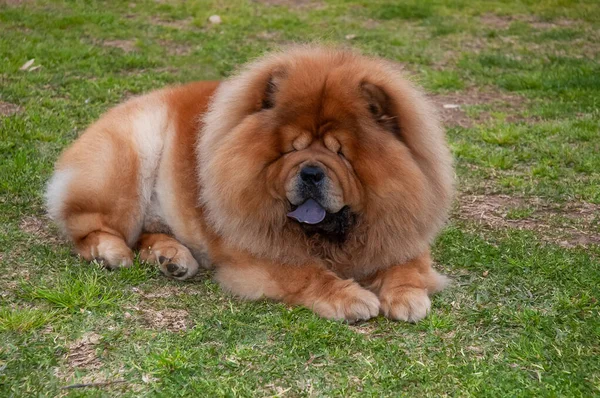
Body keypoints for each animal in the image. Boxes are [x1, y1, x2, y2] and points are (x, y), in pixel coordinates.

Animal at [47, 46, 452, 322]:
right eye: (292, 150)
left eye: (341, 153)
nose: (310, 172)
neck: (332, 237)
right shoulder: (256, 251)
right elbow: (305, 272)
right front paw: (351, 297)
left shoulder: (400, 225)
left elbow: (408, 262)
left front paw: (407, 294)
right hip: (125, 166)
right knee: (89, 227)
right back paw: (112, 251)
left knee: (148, 232)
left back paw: (173, 258)